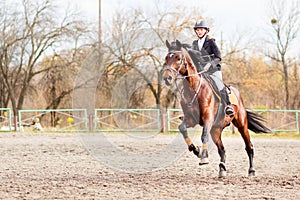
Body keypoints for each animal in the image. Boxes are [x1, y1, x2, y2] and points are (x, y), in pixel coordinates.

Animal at [163, 39, 270, 177]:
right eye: (166, 58)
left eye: (178, 58)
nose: (167, 78)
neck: (193, 89)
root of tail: (238, 94)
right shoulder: (191, 120)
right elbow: (182, 128)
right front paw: (196, 150)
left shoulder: (208, 118)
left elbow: (203, 135)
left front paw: (203, 157)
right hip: (216, 130)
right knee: (222, 149)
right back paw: (222, 169)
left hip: (241, 125)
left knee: (248, 146)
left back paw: (251, 170)